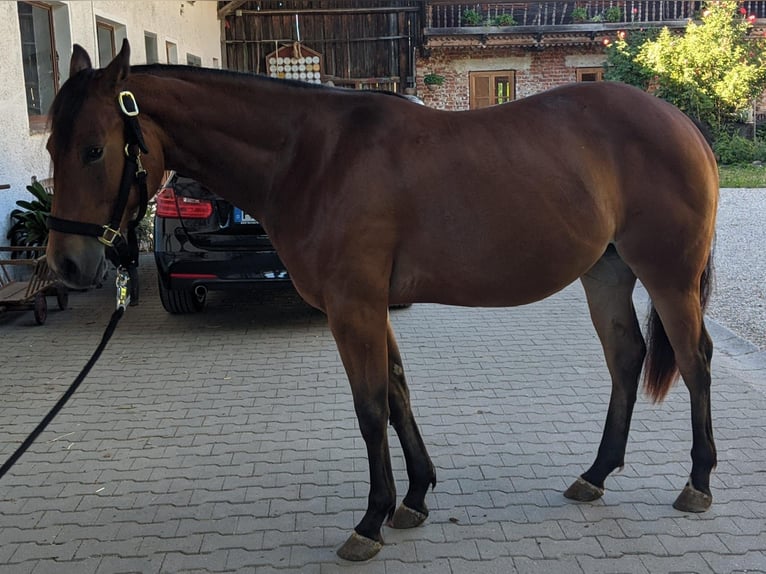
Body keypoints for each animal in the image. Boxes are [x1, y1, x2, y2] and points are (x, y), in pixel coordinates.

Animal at [45, 40, 718, 562]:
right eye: (52, 146)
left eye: (95, 149)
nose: (67, 264)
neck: (310, 155)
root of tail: (681, 122)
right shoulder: (371, 308)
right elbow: (397, 393)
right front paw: (414, 498)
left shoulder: (354, 308)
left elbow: (370, 406)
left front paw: (371, 519)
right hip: (607, 273)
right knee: (626, 358)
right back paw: (595, 474)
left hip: (668, 277)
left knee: (695, 363)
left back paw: (698, 482)